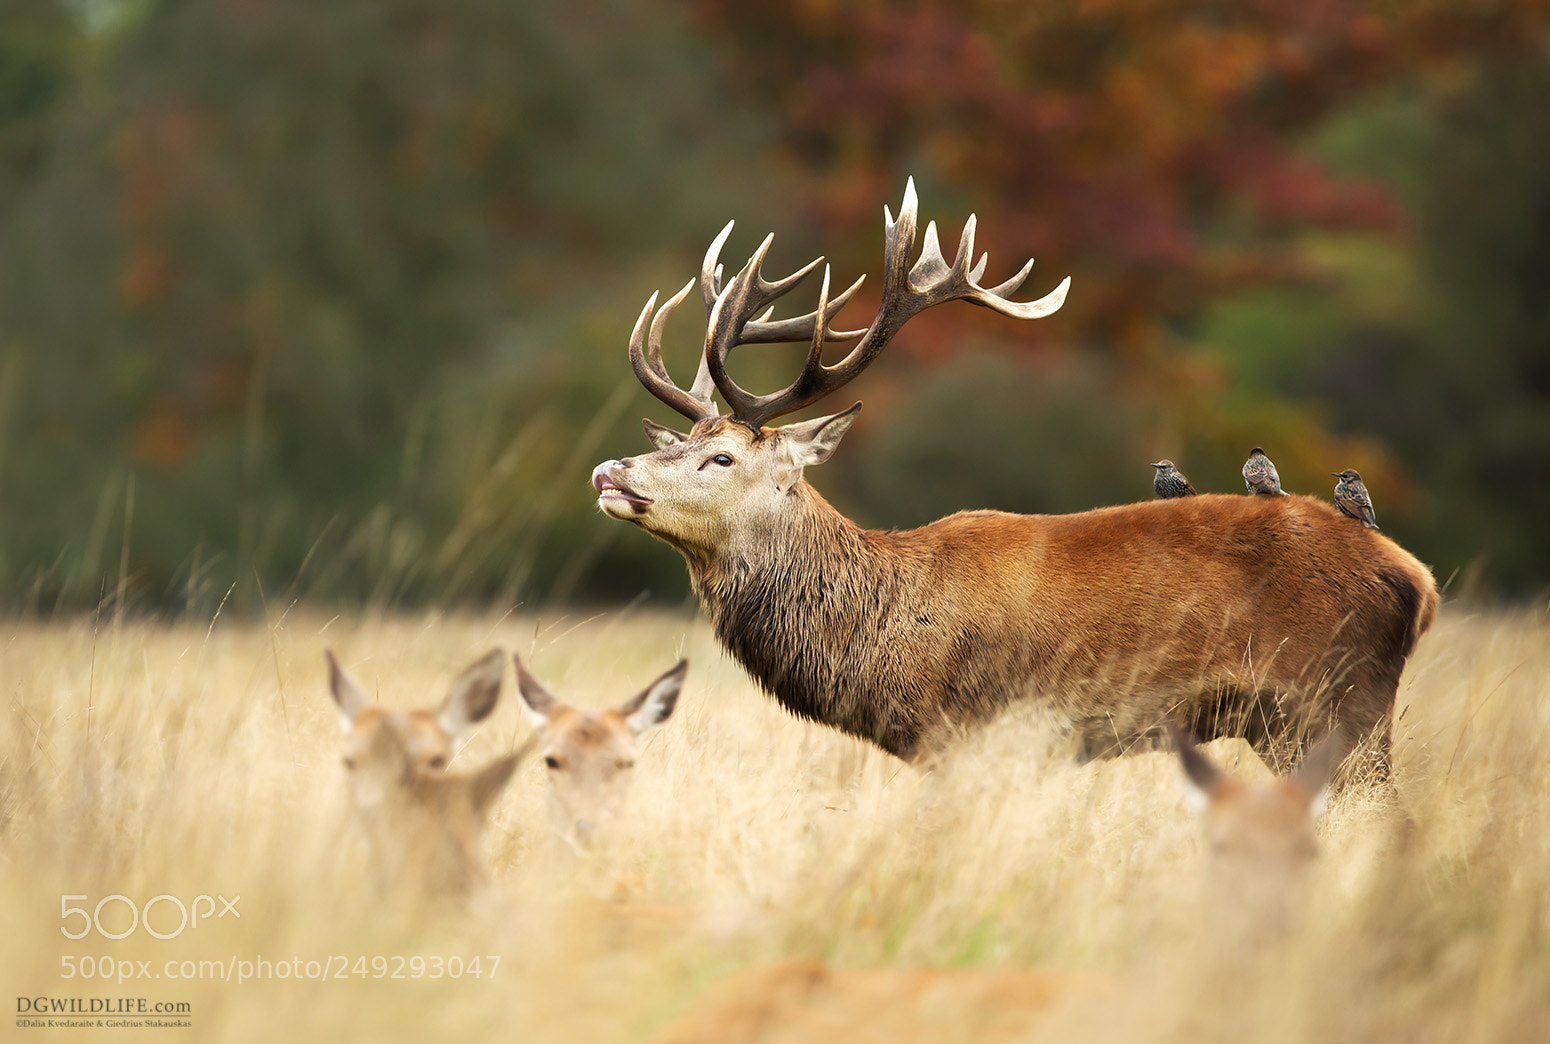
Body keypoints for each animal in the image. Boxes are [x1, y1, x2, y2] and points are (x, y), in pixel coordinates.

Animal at [591, 179, 1438, 775]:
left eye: (722, 457)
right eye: (682, 439)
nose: (608, 470)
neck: (885, 636)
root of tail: (1417, 581)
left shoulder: (981, 734)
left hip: (1333, 702)